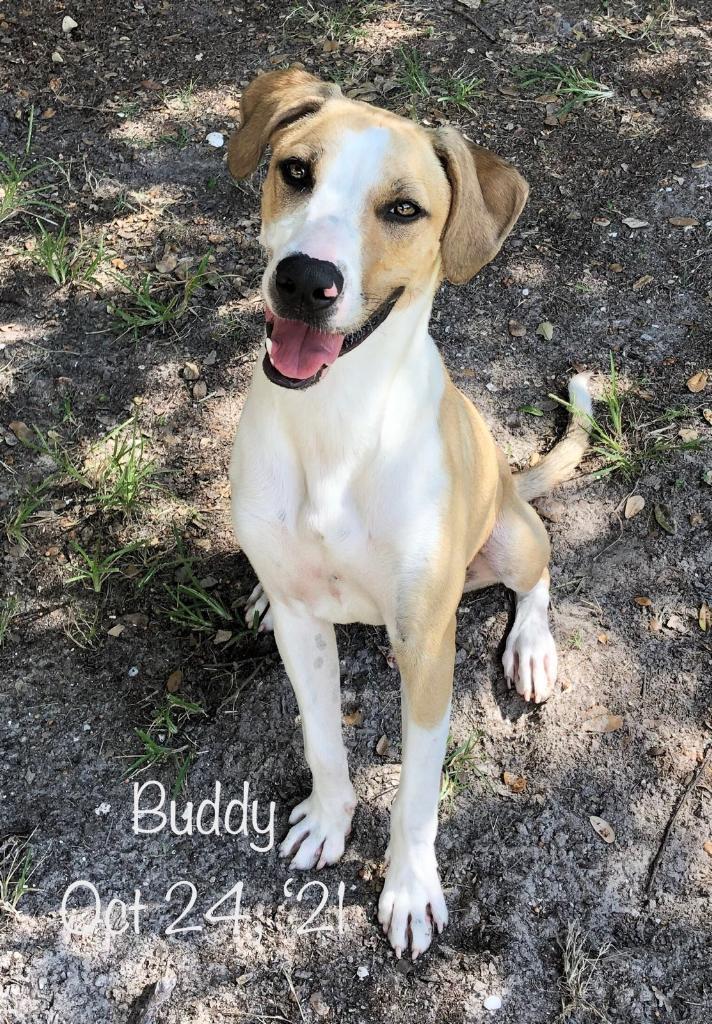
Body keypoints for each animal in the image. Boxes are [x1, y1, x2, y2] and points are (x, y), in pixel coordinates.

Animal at [227, 70, 590, 958]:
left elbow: (420, 793)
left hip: (511, 533)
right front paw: (328, 821)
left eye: (402, 209)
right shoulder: (304, 623)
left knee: (538, 574)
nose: (305, 280)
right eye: (295, 171)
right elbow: (323, 739)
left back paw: (532, 649)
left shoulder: (426, 646)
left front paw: (409, 888)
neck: (337, 421)